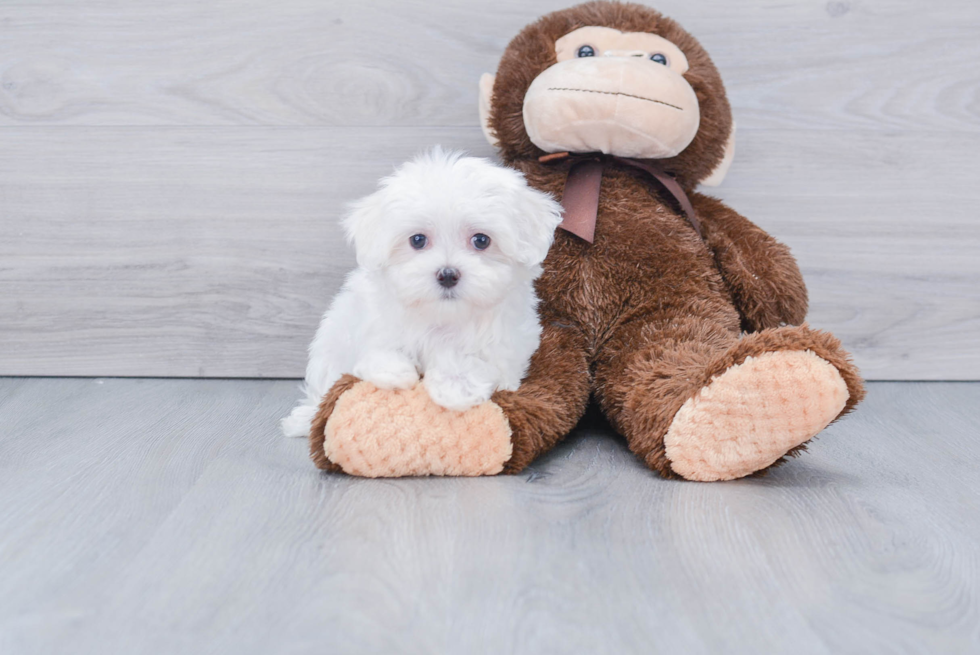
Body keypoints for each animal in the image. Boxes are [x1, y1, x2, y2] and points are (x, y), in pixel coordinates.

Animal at [280, 146, 564, 438]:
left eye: (481, 240)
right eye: (417, 240)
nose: (447, 274)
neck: (443, 317)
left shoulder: (507, 344)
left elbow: (478, 363)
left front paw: (455, 385)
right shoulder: (371, 321)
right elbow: (377, 348)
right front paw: (394, 371)